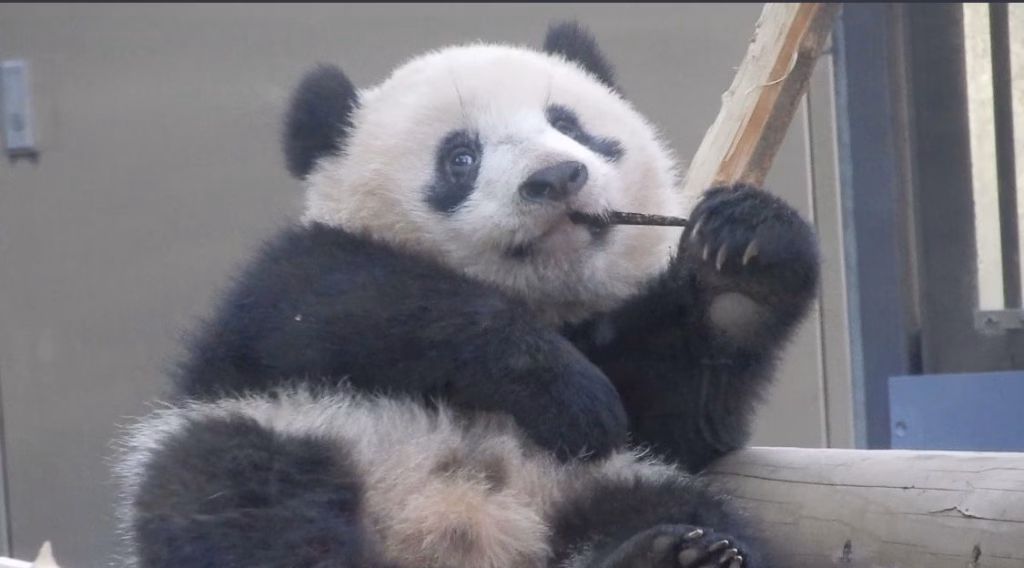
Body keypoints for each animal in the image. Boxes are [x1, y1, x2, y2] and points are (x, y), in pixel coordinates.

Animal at [112, 21, 820, 568]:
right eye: (460, 157)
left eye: (569, 125)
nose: (557, 177)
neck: (542, 297)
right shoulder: (272, 304)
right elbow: (352, 305)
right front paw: (573, 395)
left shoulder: (628, 372)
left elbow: (678, 406)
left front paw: (745, 258)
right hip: (307, 427)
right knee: (237, 493)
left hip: (586, 486)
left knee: (669, 507)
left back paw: (668, 554)